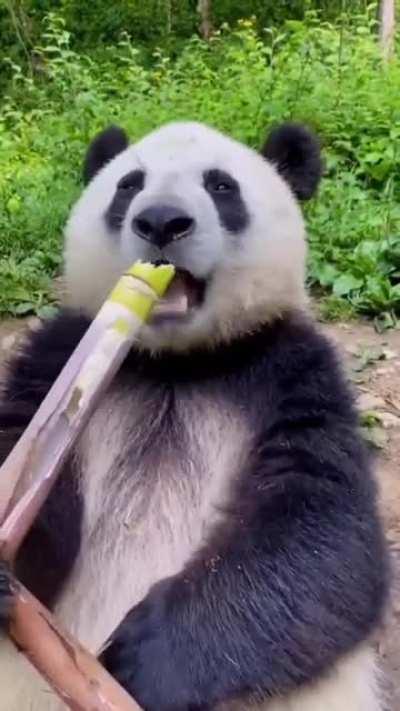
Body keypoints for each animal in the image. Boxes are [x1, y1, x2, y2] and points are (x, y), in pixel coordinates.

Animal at [0, 120, 388, 711]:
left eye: (221, 186)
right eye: (128, 186)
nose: (161, 221)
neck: (175, 364)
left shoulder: (293, 372)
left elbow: (323, 531)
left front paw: (142, 658)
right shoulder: (56, 356)